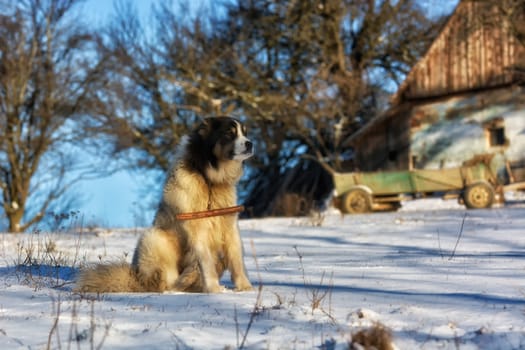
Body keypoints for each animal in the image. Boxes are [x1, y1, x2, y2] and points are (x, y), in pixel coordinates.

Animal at [75, 117, 254, 292]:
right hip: (154, 237)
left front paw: (244, 287)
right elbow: (206, 262)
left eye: (245, 133)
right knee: (165, 282)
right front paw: (214, 289)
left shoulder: (229, 224)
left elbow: (236, 259)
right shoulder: (197, 228)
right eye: (229, 133)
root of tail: (136, 278)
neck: (209, 179)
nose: (250, 143)